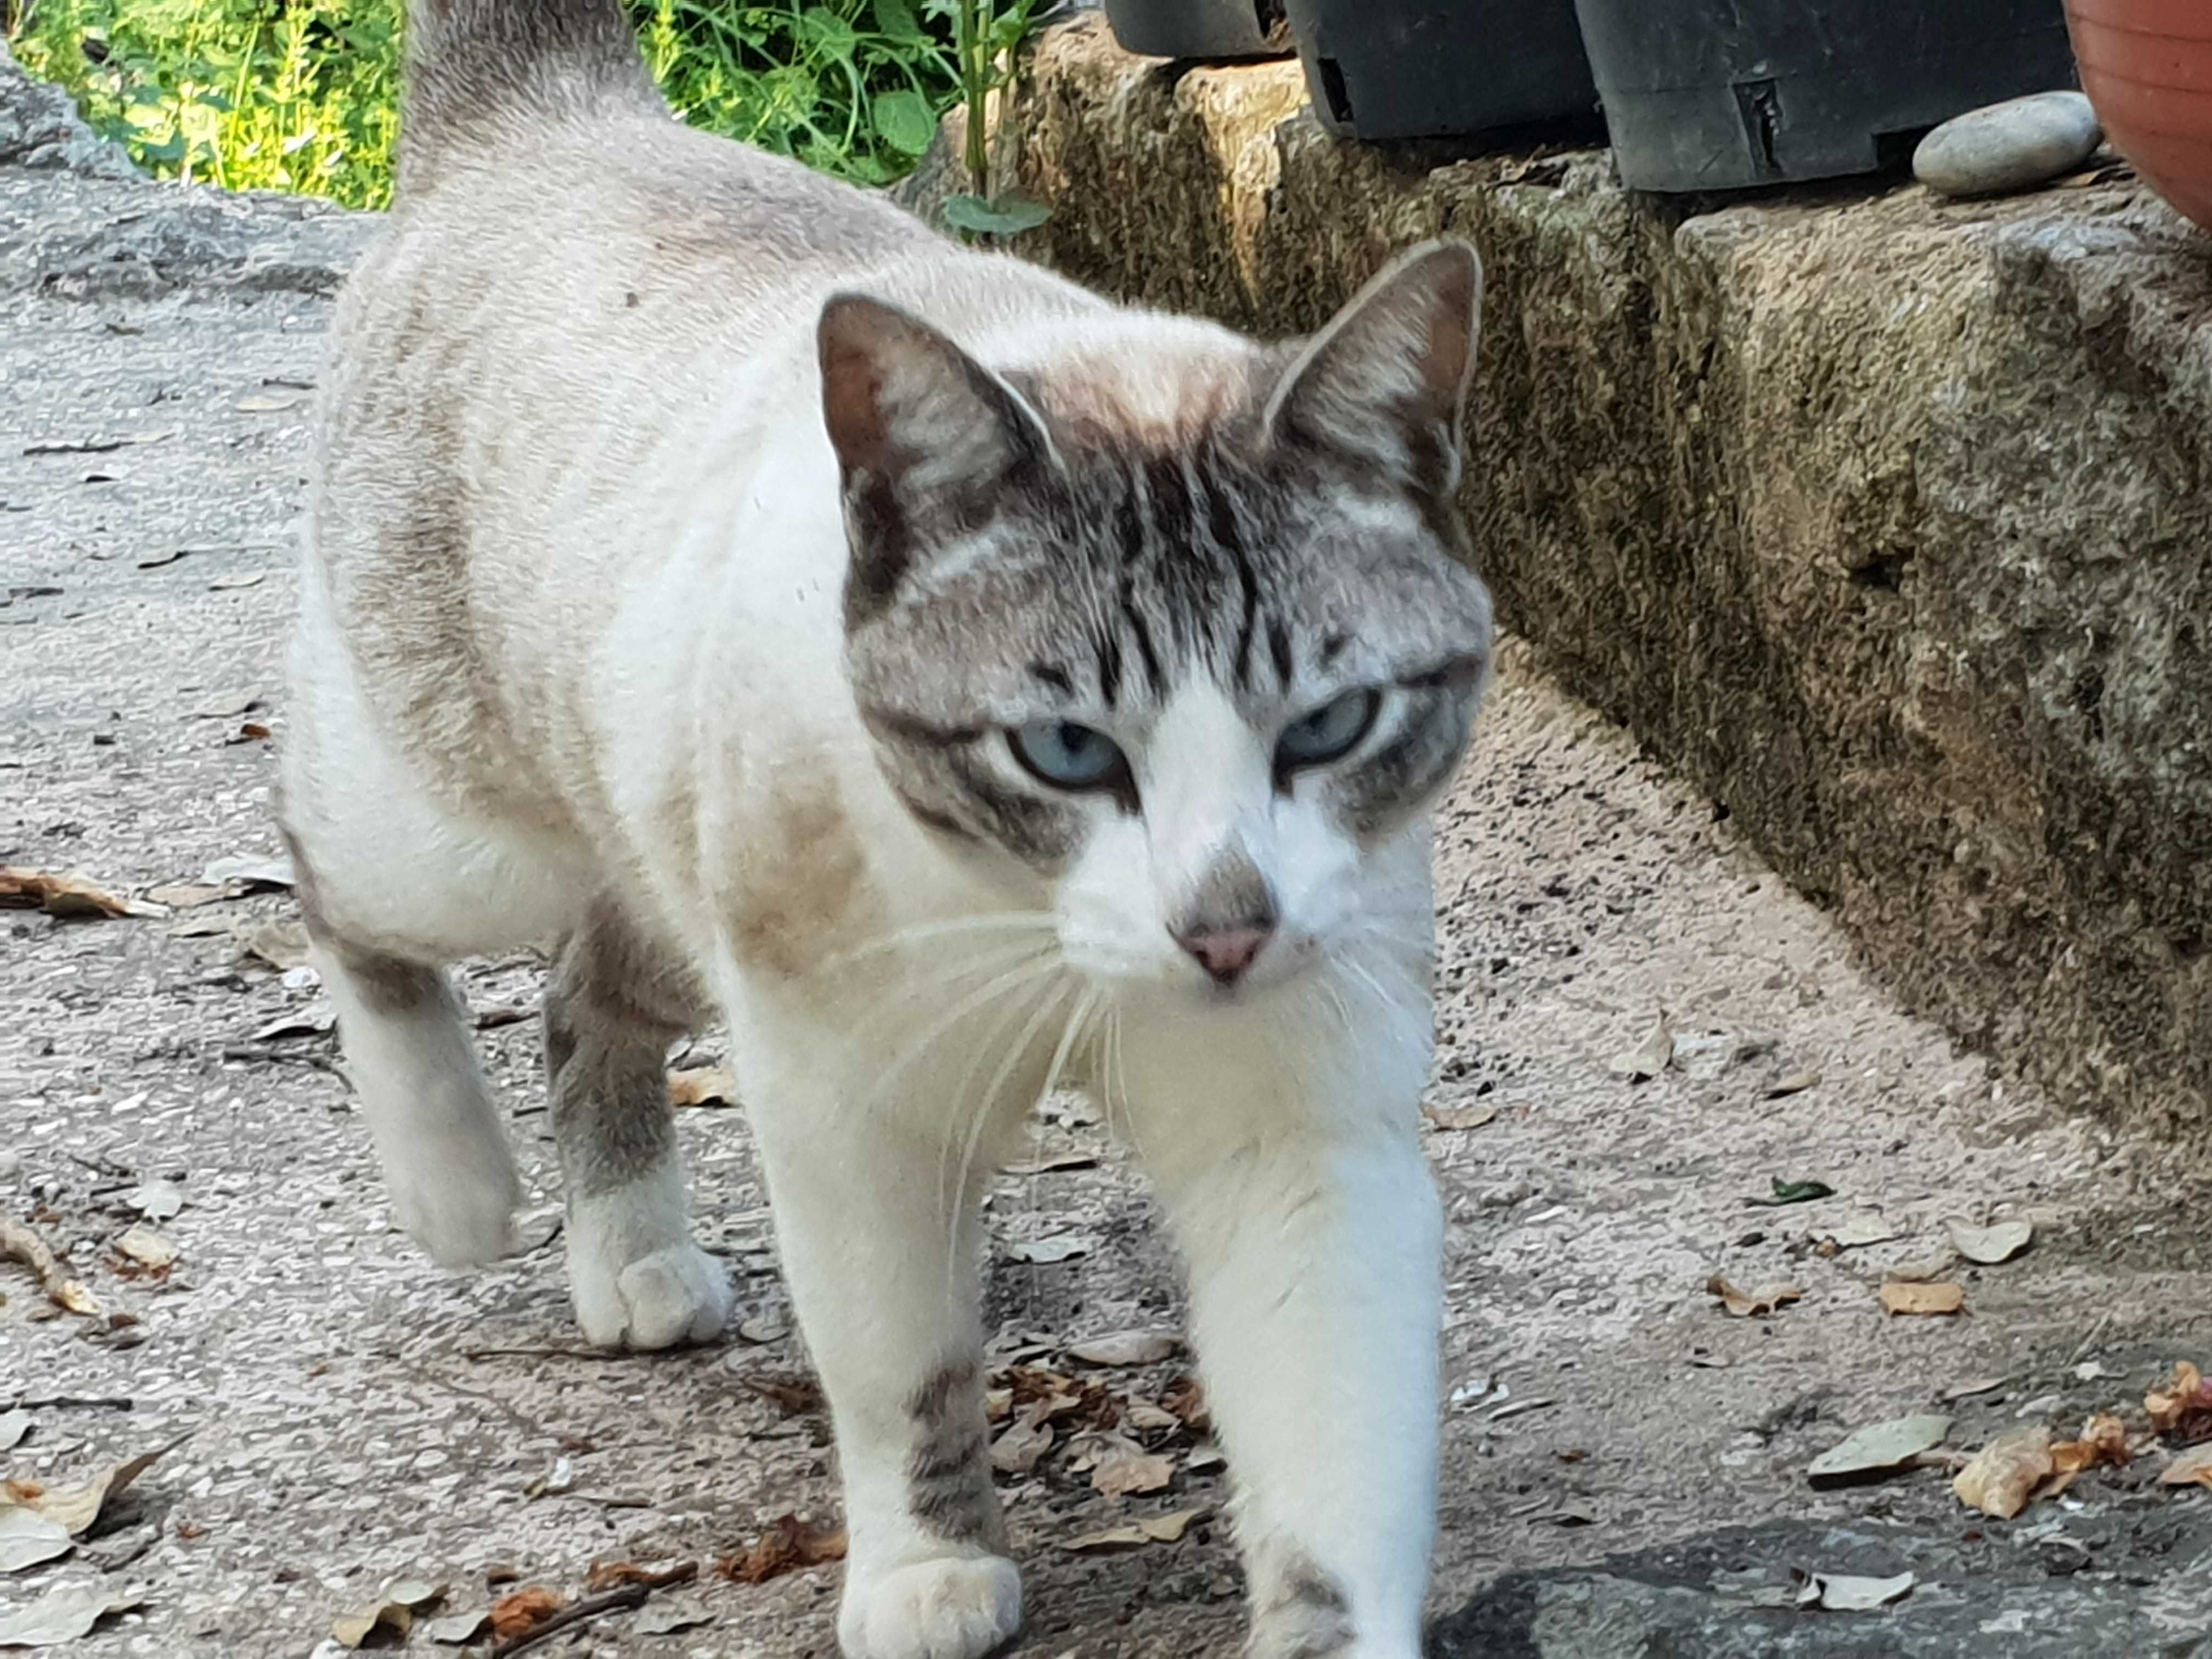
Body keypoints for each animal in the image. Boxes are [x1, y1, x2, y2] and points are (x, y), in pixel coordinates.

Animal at [276, 6, 1495, 1654]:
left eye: (1328, 727)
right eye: (1064, 748)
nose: (1224, 927)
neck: (1040, 937)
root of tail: (550, 108)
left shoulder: (1296, 1131)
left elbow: (1328, 1462)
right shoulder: (847, 1114)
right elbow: (900, 1368)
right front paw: (926, 1570)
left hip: (669, 876)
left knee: (585, 992)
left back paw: (633, 1258)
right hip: (464, 836)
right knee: (335, 869)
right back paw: (455, 1184)